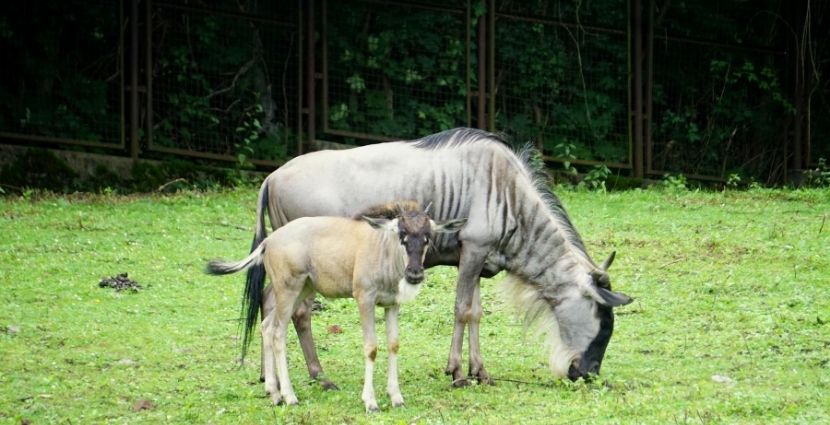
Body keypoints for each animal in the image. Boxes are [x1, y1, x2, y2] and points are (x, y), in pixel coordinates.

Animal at [206, 202, 468, 410]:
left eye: (427, 236)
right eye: (401, 234)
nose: (414, 274)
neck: (383, 248)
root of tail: (269, 241)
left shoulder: (391, 305)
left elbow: (393, 345)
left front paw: (396, 397)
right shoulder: (364, 299)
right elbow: (371, 347)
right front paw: (370, 401)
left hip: (302, 290)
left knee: (268, 326)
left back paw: (273, 392)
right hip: (288, 289)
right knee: (278, 332)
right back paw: (289, 396)